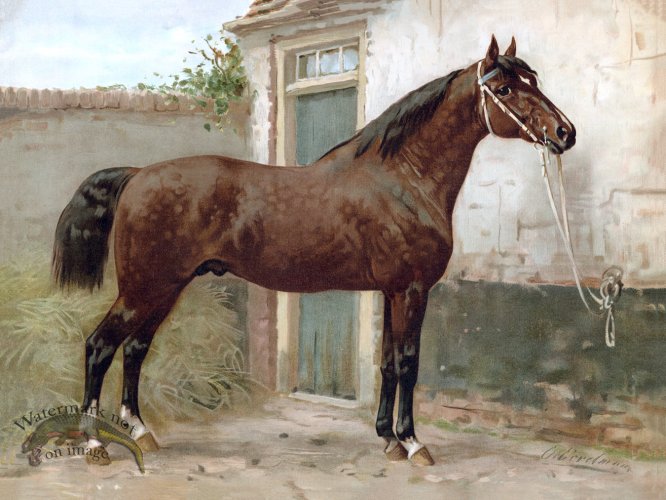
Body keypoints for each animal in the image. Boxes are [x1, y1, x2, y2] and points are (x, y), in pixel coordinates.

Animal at [52, 36, 576, 468]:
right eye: (504, 89)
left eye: (533, 80)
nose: (565, 133)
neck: (402, 179)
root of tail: (138, 175)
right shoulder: (411, 290)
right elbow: (408, 362)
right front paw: (412, 443)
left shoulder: (390, 292)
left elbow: (387, 362)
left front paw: (387, 438)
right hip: (145, 287)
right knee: (100, 346)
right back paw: (95, 443)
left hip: (165, 288)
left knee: (135, 349)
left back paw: (141, 432)